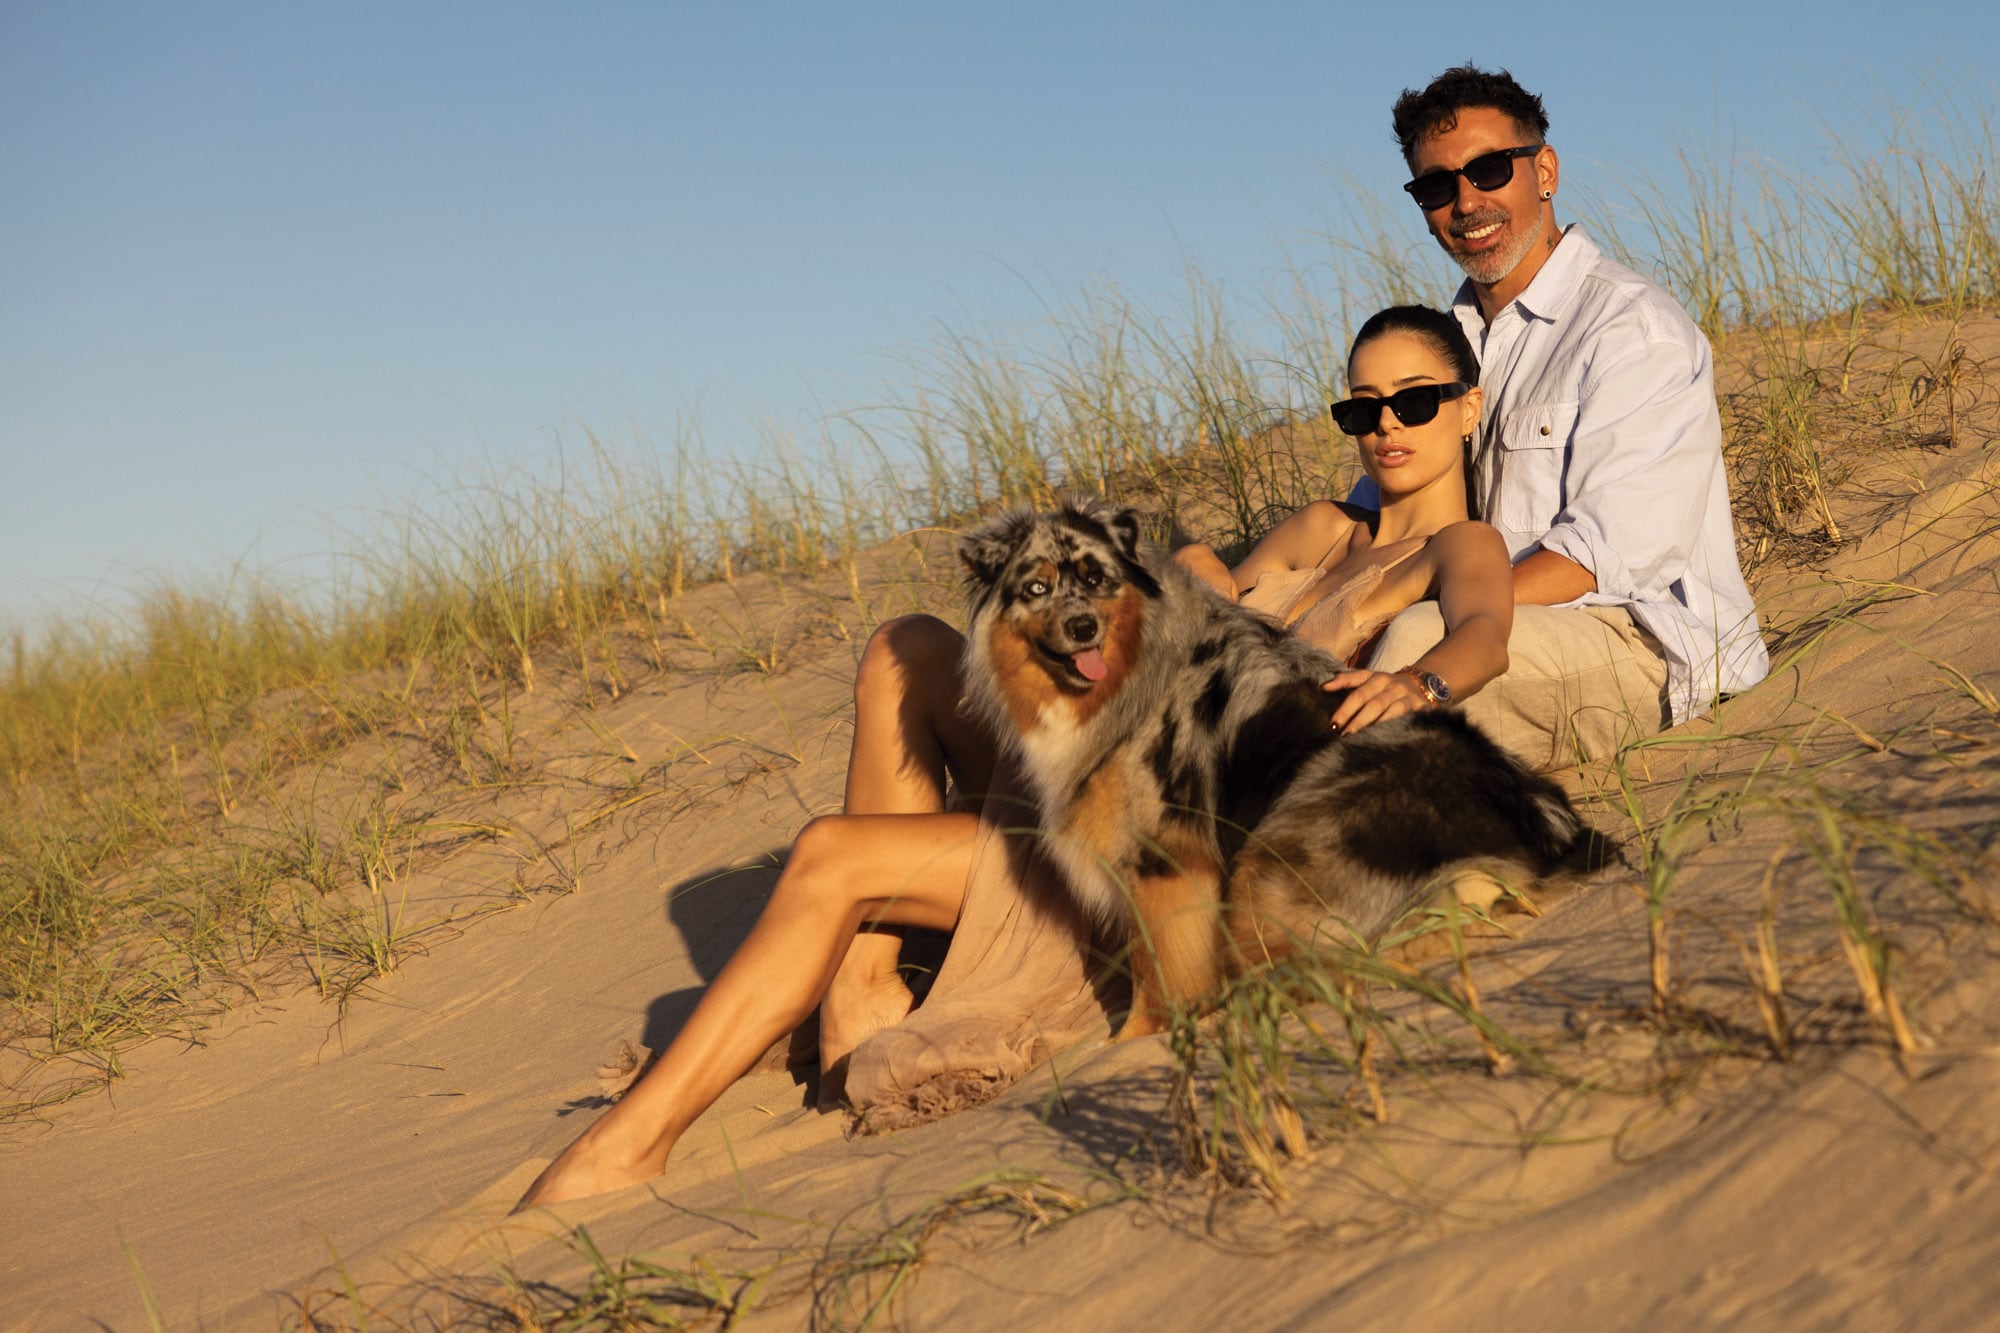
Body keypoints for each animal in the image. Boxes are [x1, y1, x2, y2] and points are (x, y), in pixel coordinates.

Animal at [956, 492, 1592, 1032]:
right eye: (1037, 588)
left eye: (1097, 579)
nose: (1083, 626)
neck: (1135, 665)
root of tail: (1538, 840)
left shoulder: (1163, 855)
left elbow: (1157, 975)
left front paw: (1140, 1037)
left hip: (1270, 861)